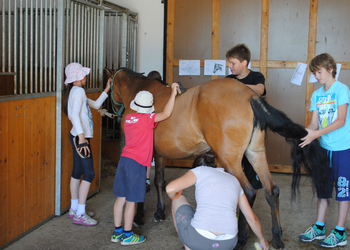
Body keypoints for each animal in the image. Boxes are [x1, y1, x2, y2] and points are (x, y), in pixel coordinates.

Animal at [106, 67, 328, 249]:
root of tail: (250, 96)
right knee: (271, 191)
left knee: (248, 192)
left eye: (109, 86)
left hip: (230, 161)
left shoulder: (149, 154)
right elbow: (159, 180)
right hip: (255, 155)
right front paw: (159, 212)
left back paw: (241, 239)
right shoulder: (160, 154)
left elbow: (144, 183)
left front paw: (140, 215)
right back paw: (277, 237)